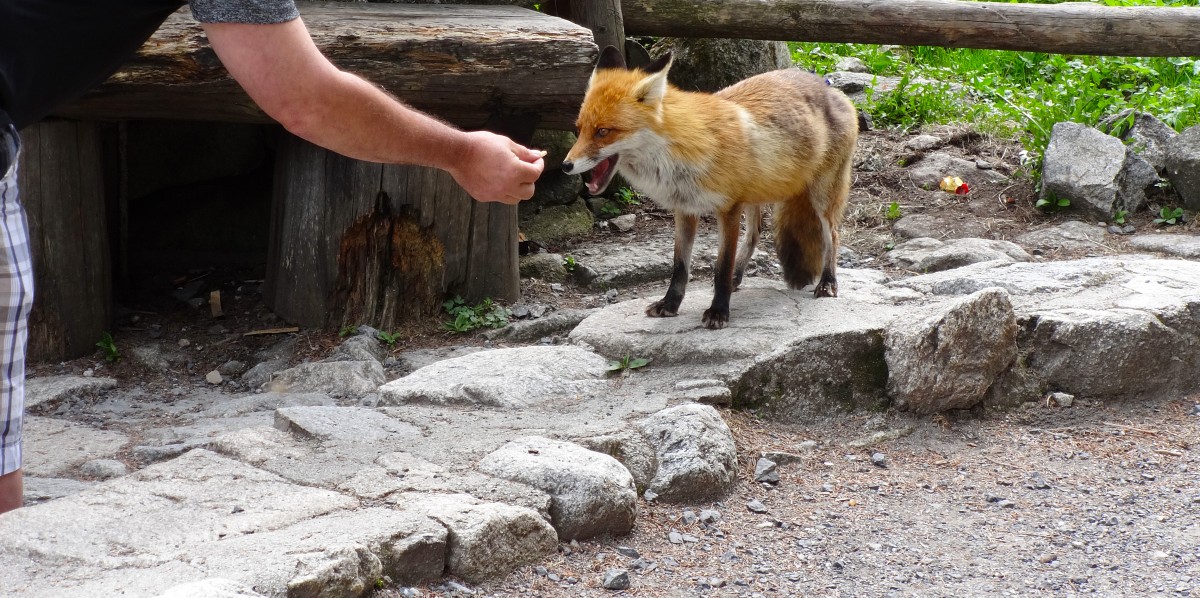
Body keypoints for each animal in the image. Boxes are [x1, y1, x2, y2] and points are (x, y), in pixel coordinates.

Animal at [564, 45, 864, 331]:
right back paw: (738, 278)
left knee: (832, 236)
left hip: (822, 196)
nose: (566, 166)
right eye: (579, 129)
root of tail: (830, 88)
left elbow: (721, 266)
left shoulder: (728, 209)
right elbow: (680, 266)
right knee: (755, 234)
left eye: (603, 131)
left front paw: (719, 312)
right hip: (755, 194)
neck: (684, 148)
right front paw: (670, 305)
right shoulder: (685, 209)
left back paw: (827, 282)